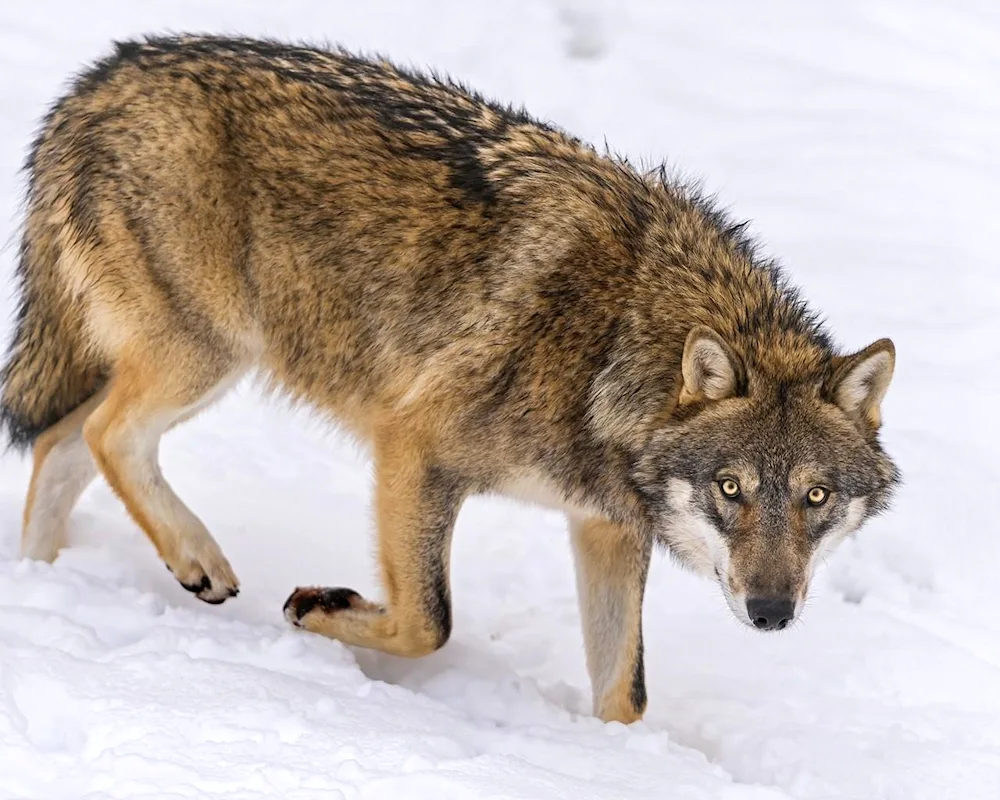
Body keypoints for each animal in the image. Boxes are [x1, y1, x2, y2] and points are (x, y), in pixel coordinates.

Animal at [0, 36, 904, 724]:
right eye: (730, 487)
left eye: (815, 497)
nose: (771, 613)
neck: (615, 344)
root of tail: (101, 75)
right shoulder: (414, 449)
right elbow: (429, 623)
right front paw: (317, 611)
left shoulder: (605, 528)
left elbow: (625, 694)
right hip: (207, 356)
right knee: (102, 435)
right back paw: (195, 560)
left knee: (61, 444)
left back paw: (42, 585)